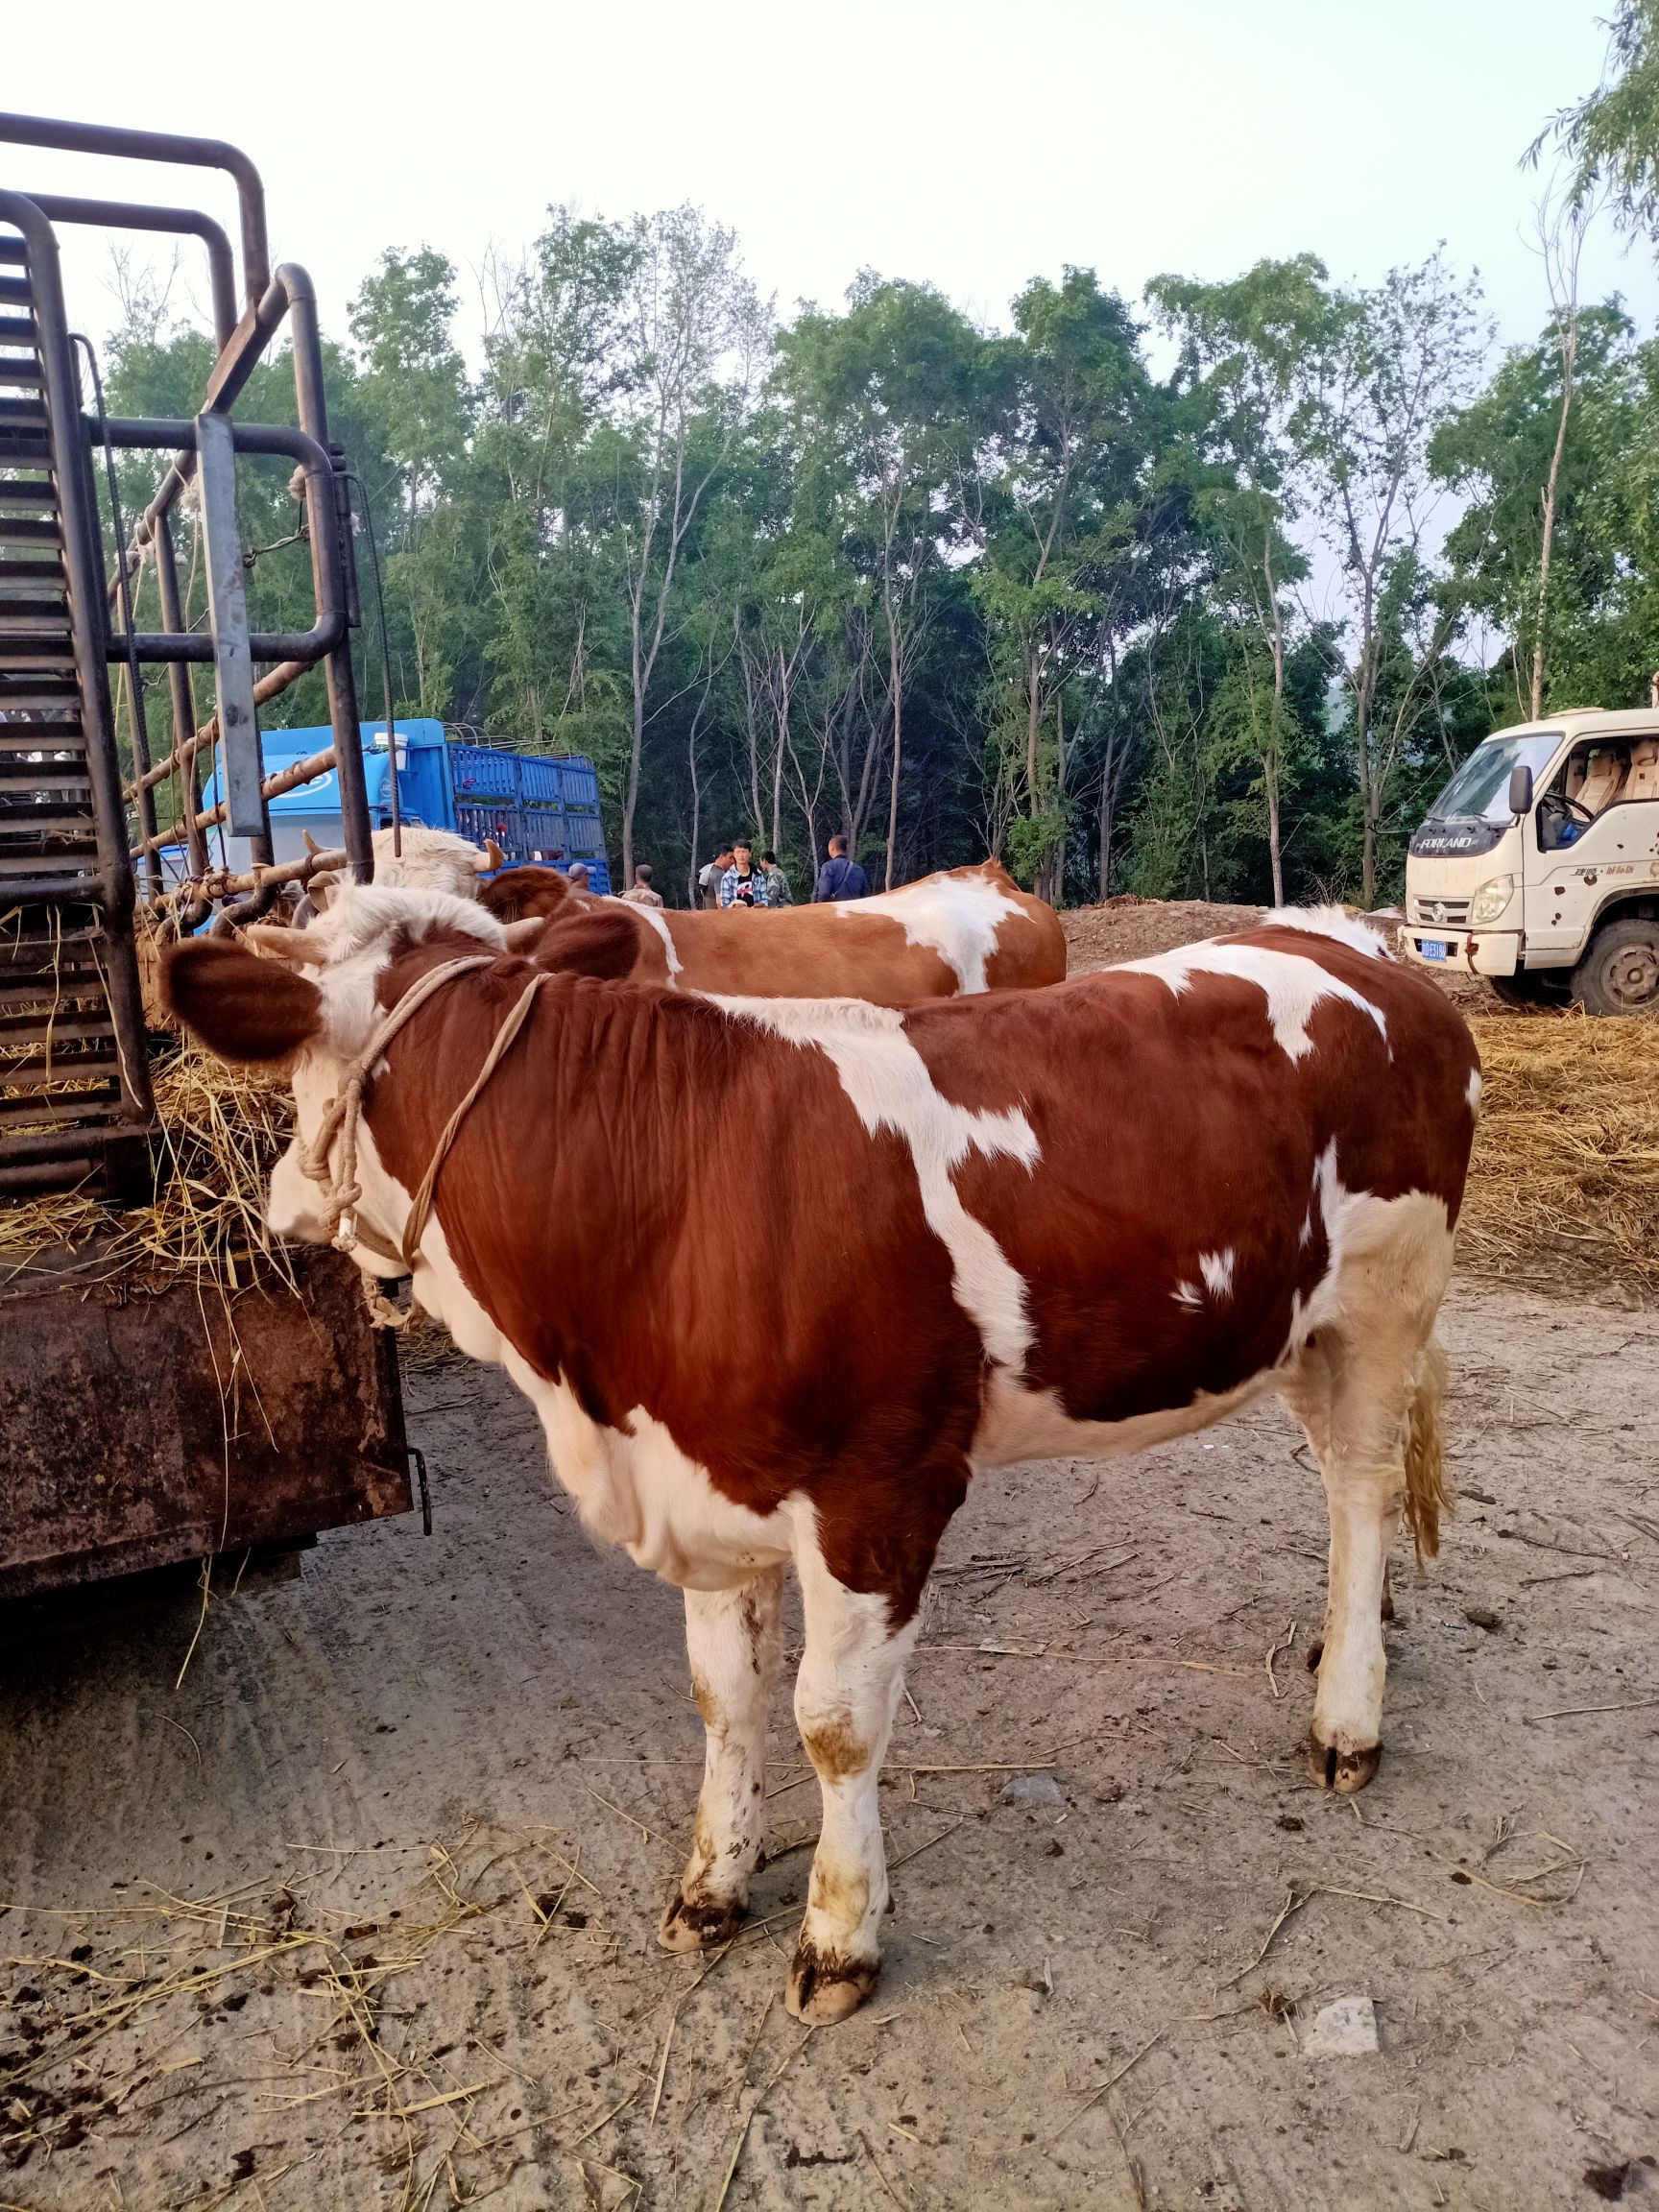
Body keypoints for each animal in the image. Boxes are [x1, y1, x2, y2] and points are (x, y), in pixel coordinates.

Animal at [158, 893, 1478, 2026]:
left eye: (294, 1074)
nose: (277, 1202)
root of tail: (1356, 942)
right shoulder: (704, 1483)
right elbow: (723, 1695)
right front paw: (710, 1886)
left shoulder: (880, 1491)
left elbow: (833, 1723)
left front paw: (839, 1938)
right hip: (1295, 1327)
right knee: (1339, 1493)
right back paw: (1345, 1642)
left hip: (1388, 1303)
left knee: (1363, 1488)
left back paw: (1347, 1717)